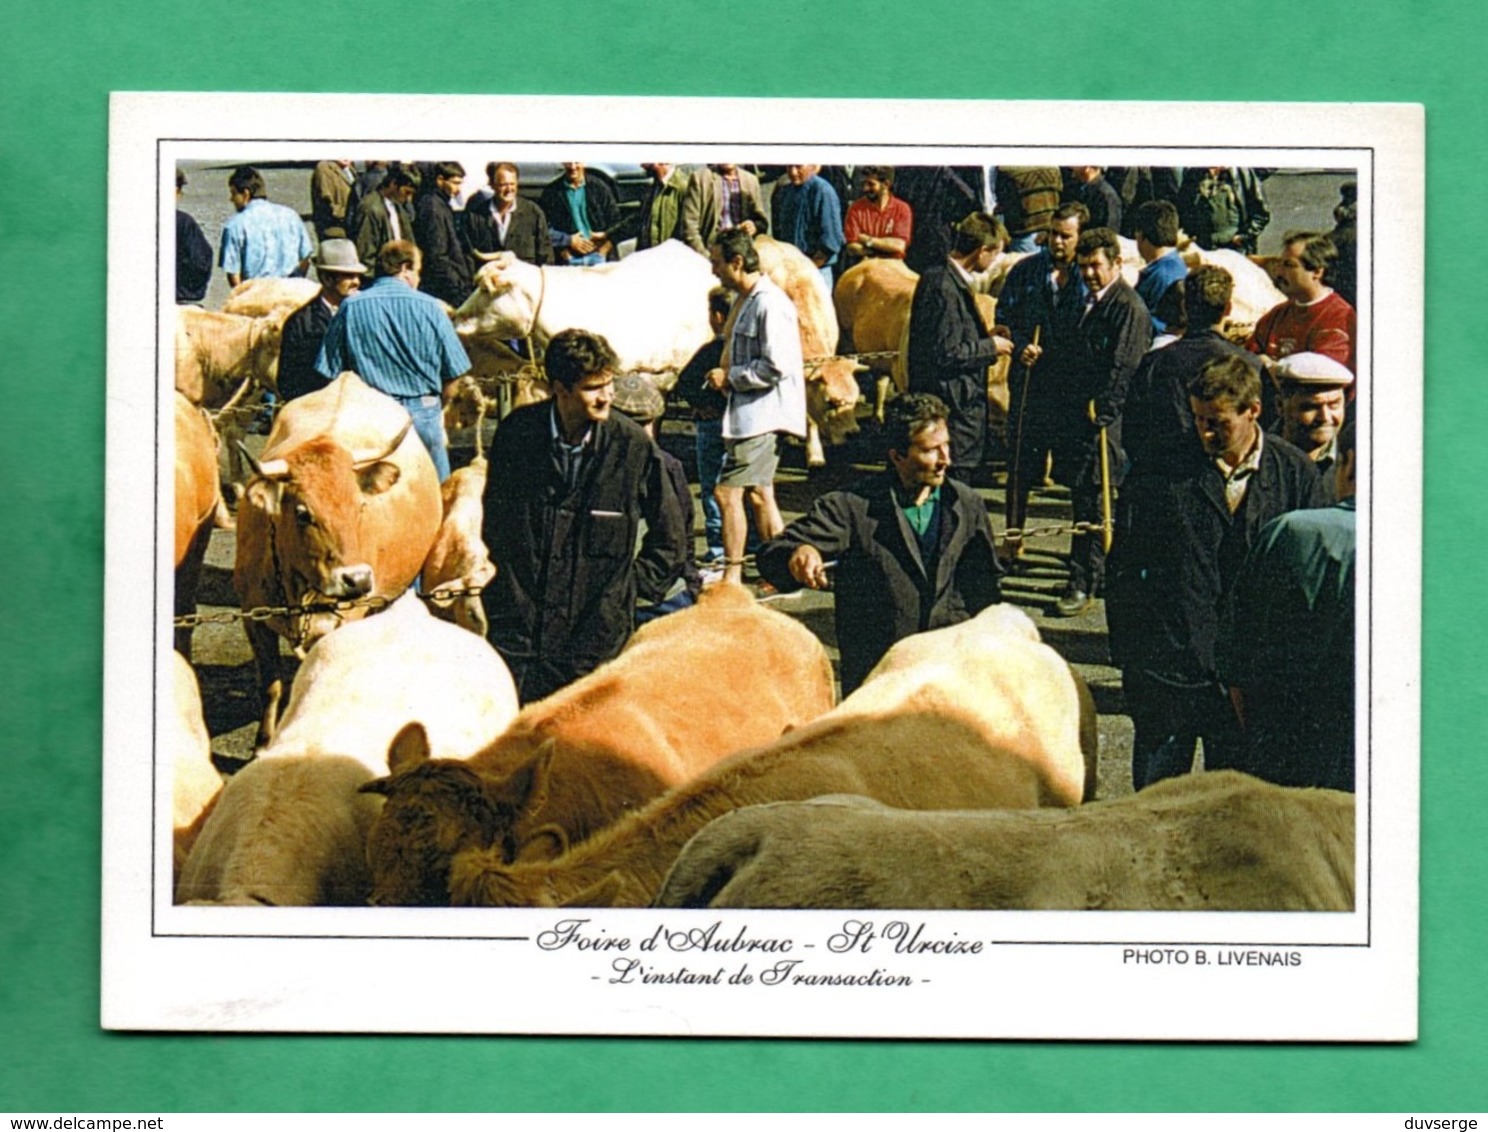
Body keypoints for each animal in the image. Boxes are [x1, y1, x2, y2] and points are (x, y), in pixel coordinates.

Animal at [232, 370, 440, 740]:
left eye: (361, 506)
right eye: (302, 513)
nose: (357, 579)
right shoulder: (252, 616)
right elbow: (270, 686)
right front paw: (262, 743)